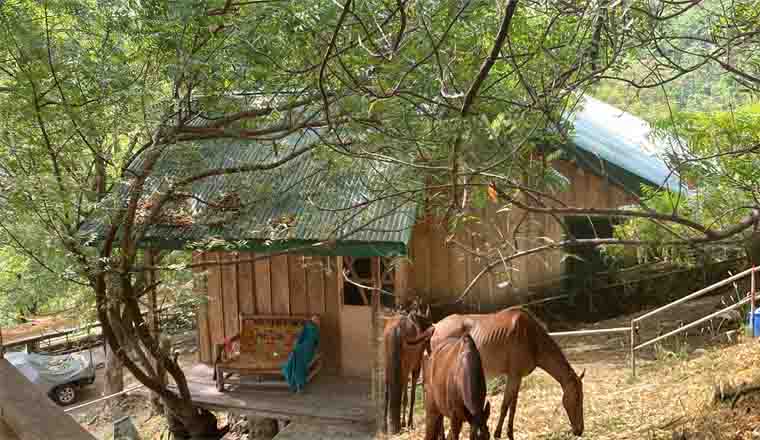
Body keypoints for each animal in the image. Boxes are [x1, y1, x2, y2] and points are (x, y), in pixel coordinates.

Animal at [386, 302, 434, 434]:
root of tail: (397, 330)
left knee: (388, 389)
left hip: (389, 365)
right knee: (404, 393)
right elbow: (410, 396)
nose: (430, 351)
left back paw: (385, 425)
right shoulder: (415, 367)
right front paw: (408, 422)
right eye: (428, 337)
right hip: (406, 366)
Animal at [430, 308, 584, 438]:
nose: (580, 430)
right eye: (577, 399)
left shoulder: (518, 377)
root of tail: (436, 326)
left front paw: (510, 433)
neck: (531, 337)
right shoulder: (513, 376)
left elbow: (512, 407)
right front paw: (498, 433)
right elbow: (505, 406)